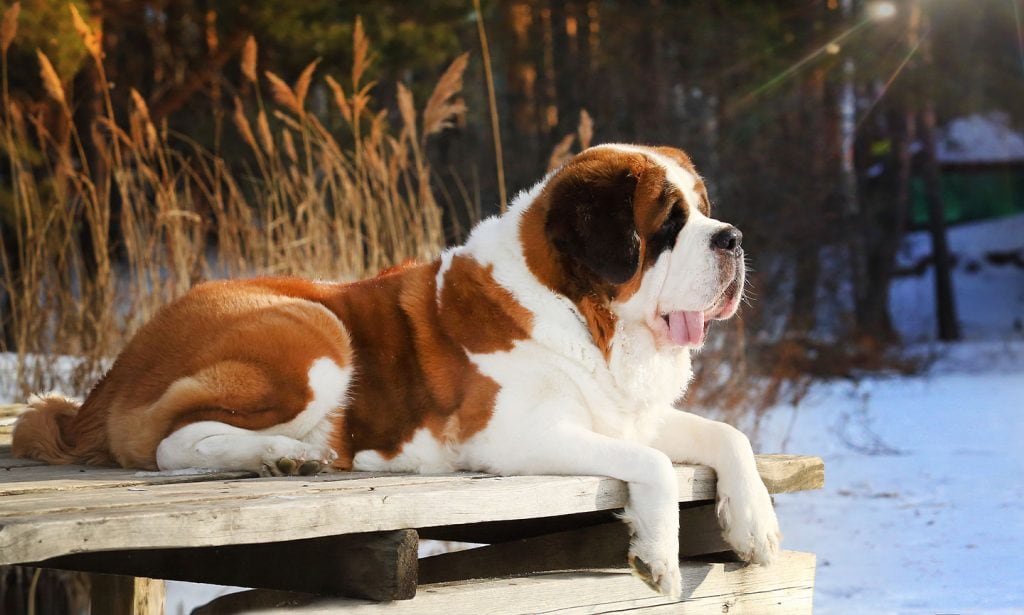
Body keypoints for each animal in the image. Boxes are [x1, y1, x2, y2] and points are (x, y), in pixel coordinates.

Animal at [14, 142, 782, 593]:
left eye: (705, 211)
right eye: (668, 223)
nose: (735, 238)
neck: (584, 313)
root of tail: (114, 370)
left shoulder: (629, 414)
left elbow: (728, 435)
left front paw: (757, 525)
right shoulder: (512, 437)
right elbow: (651, 465)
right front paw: (659, 553)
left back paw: (291, 456)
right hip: (316, 333)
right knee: (171, 443)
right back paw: (280, 455)